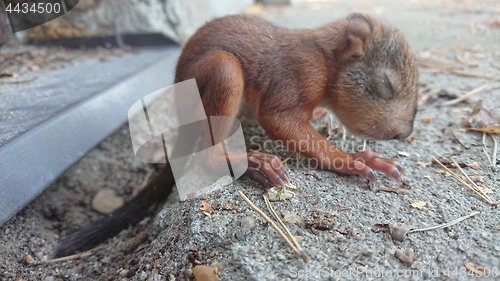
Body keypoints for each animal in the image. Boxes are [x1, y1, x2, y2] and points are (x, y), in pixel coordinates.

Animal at [55, 12, 418, 256]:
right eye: (386, 85)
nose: (404, 134)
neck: (326, 58)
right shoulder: (300, 74)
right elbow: (280, 121)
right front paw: (357, 160)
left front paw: (322, 118)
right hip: (222, 72)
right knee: (210, 151)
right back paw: (255, 163)